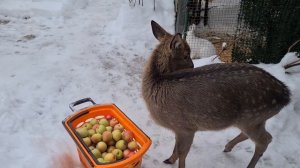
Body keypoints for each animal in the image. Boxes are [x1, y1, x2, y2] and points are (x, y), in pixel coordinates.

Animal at [142, 20, 292, 168]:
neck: (157, 84)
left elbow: (182, 153)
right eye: (185, 55)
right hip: (255, 120)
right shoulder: (179, 128)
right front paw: (169, 160)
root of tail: (285, 95)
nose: (192, 66)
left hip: (253, 117)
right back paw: (227, 147)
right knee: (260, 136)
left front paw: (173, 161)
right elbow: (177, 149)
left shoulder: (186, 127)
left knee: (265, 140)